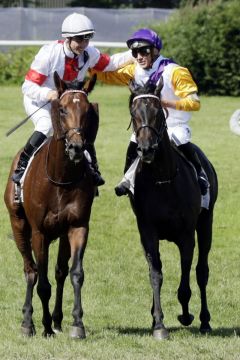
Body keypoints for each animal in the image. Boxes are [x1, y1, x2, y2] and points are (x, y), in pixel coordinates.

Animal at [4, 72, 99, 338]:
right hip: (18, 225)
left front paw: (77, 324)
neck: (61, 177)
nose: (76, 148)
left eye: (88, 110)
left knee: (59, 272)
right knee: (31, 271)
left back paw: (56, 319)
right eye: (63, 109)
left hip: (61, 234)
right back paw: (29, 322)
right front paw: (42, 325)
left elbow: (75, 273)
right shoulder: (39, 232)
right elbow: (42, 282)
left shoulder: (77, 226)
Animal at [127, 79, 218, 340]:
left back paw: (205, 320)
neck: (162, 178)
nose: (146, 149)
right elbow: (155, 274)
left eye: (158, 112)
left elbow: (187, 274)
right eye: (134, 113)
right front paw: (158, 323)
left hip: (206, 223)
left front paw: (186, 314)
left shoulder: (186, 234)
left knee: (202, 271)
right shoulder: (147, 232)